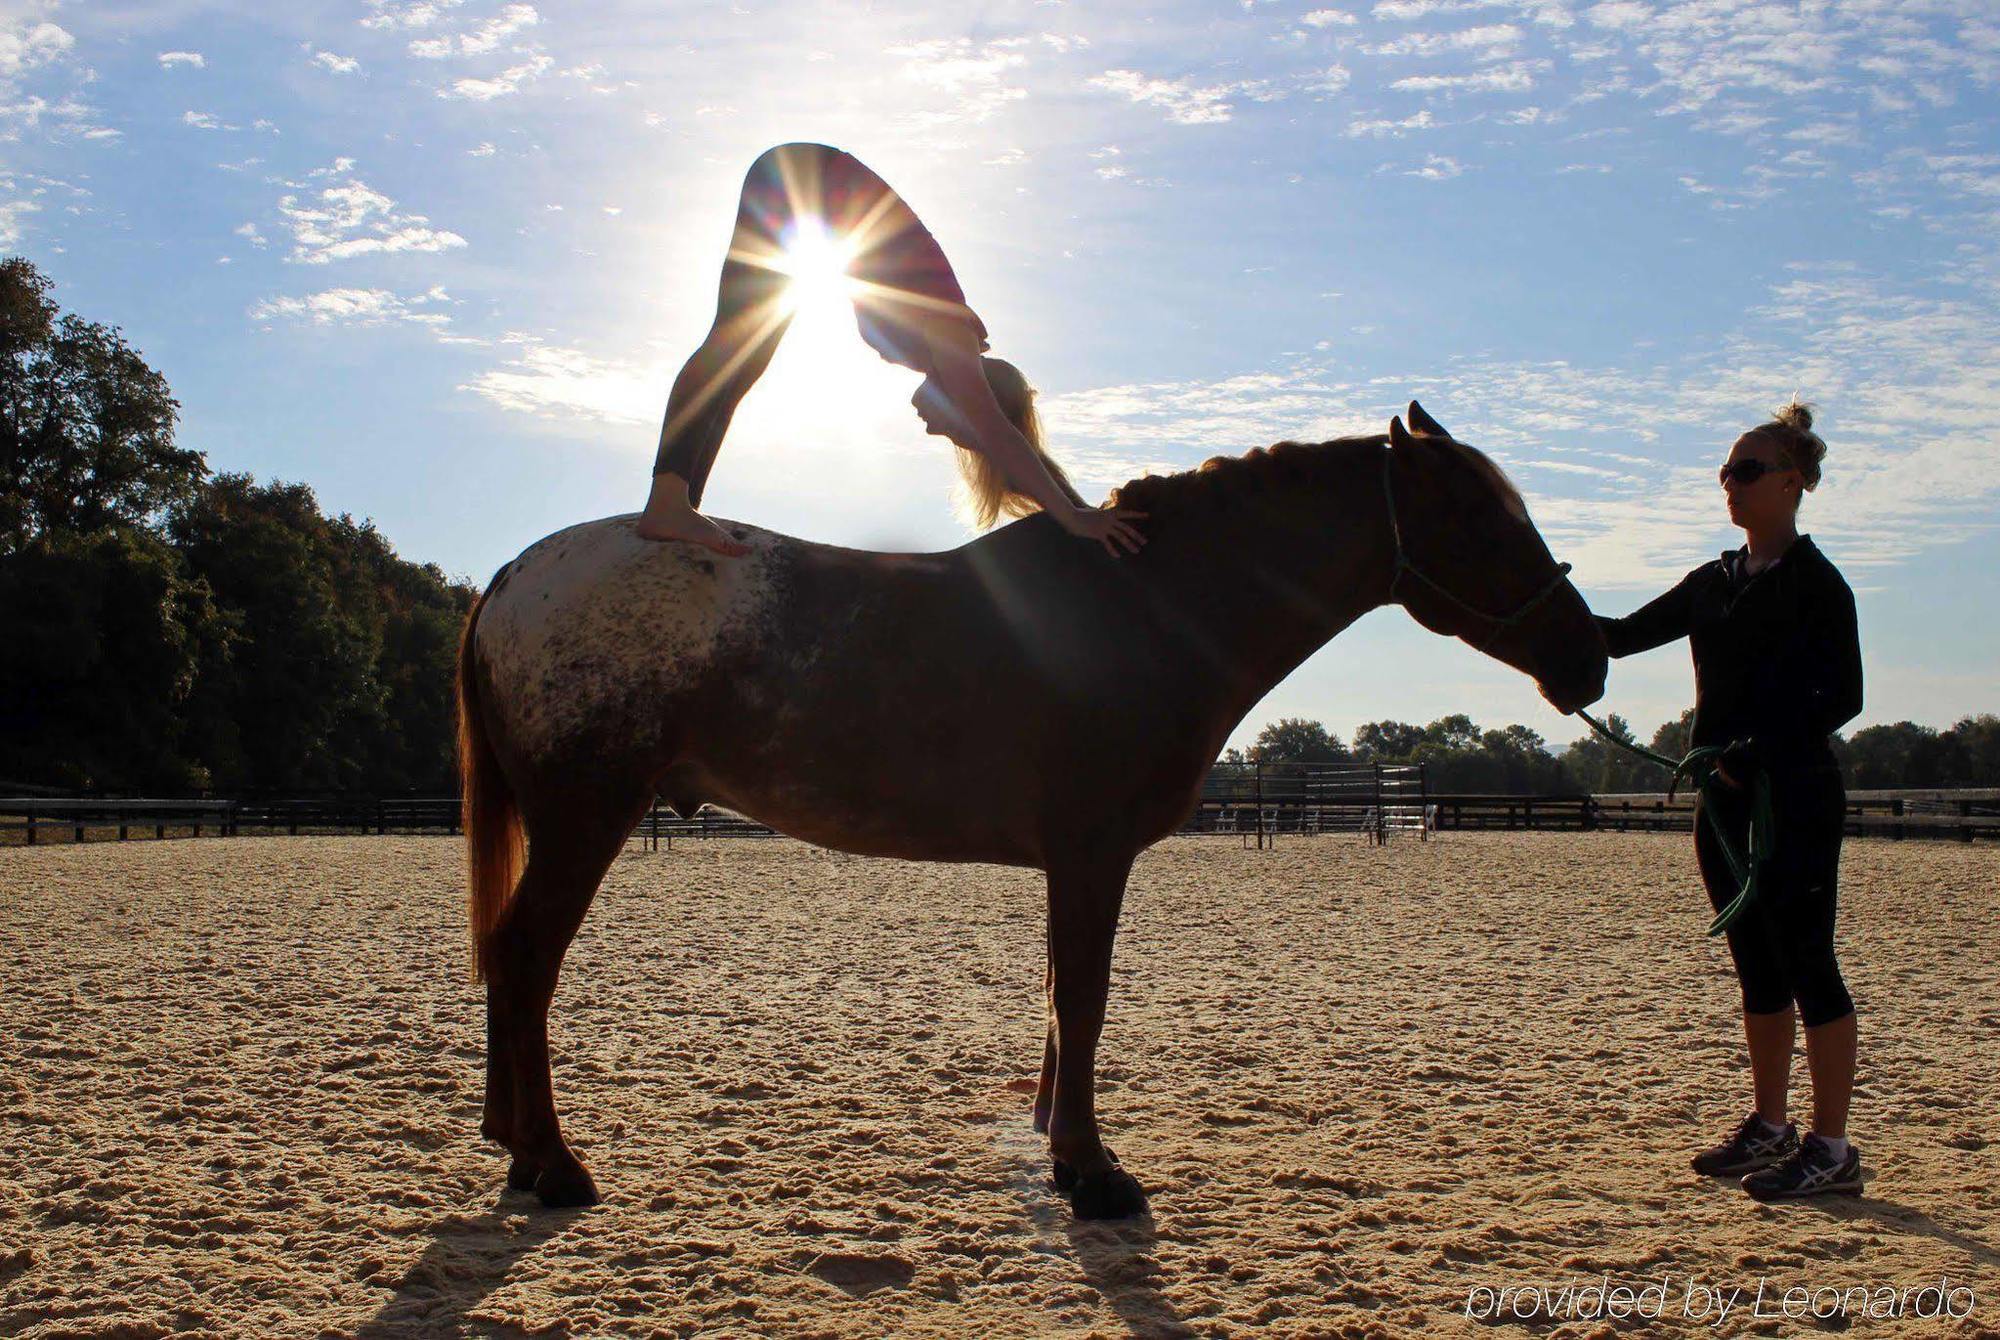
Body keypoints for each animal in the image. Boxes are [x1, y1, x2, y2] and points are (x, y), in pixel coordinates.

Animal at [458, 400, 1608, 1216]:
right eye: (1478, 516)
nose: (1587, 657)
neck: (1139, 609)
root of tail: (513, 575)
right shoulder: (1093, 853)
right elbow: (1083, 999)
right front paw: (1092, 1172)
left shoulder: (1075, 861)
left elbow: (1060, 999)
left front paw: (1061, 1144)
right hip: (585, 818)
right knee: (523, 959)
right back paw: (553, 1164)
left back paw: (517, 1150)